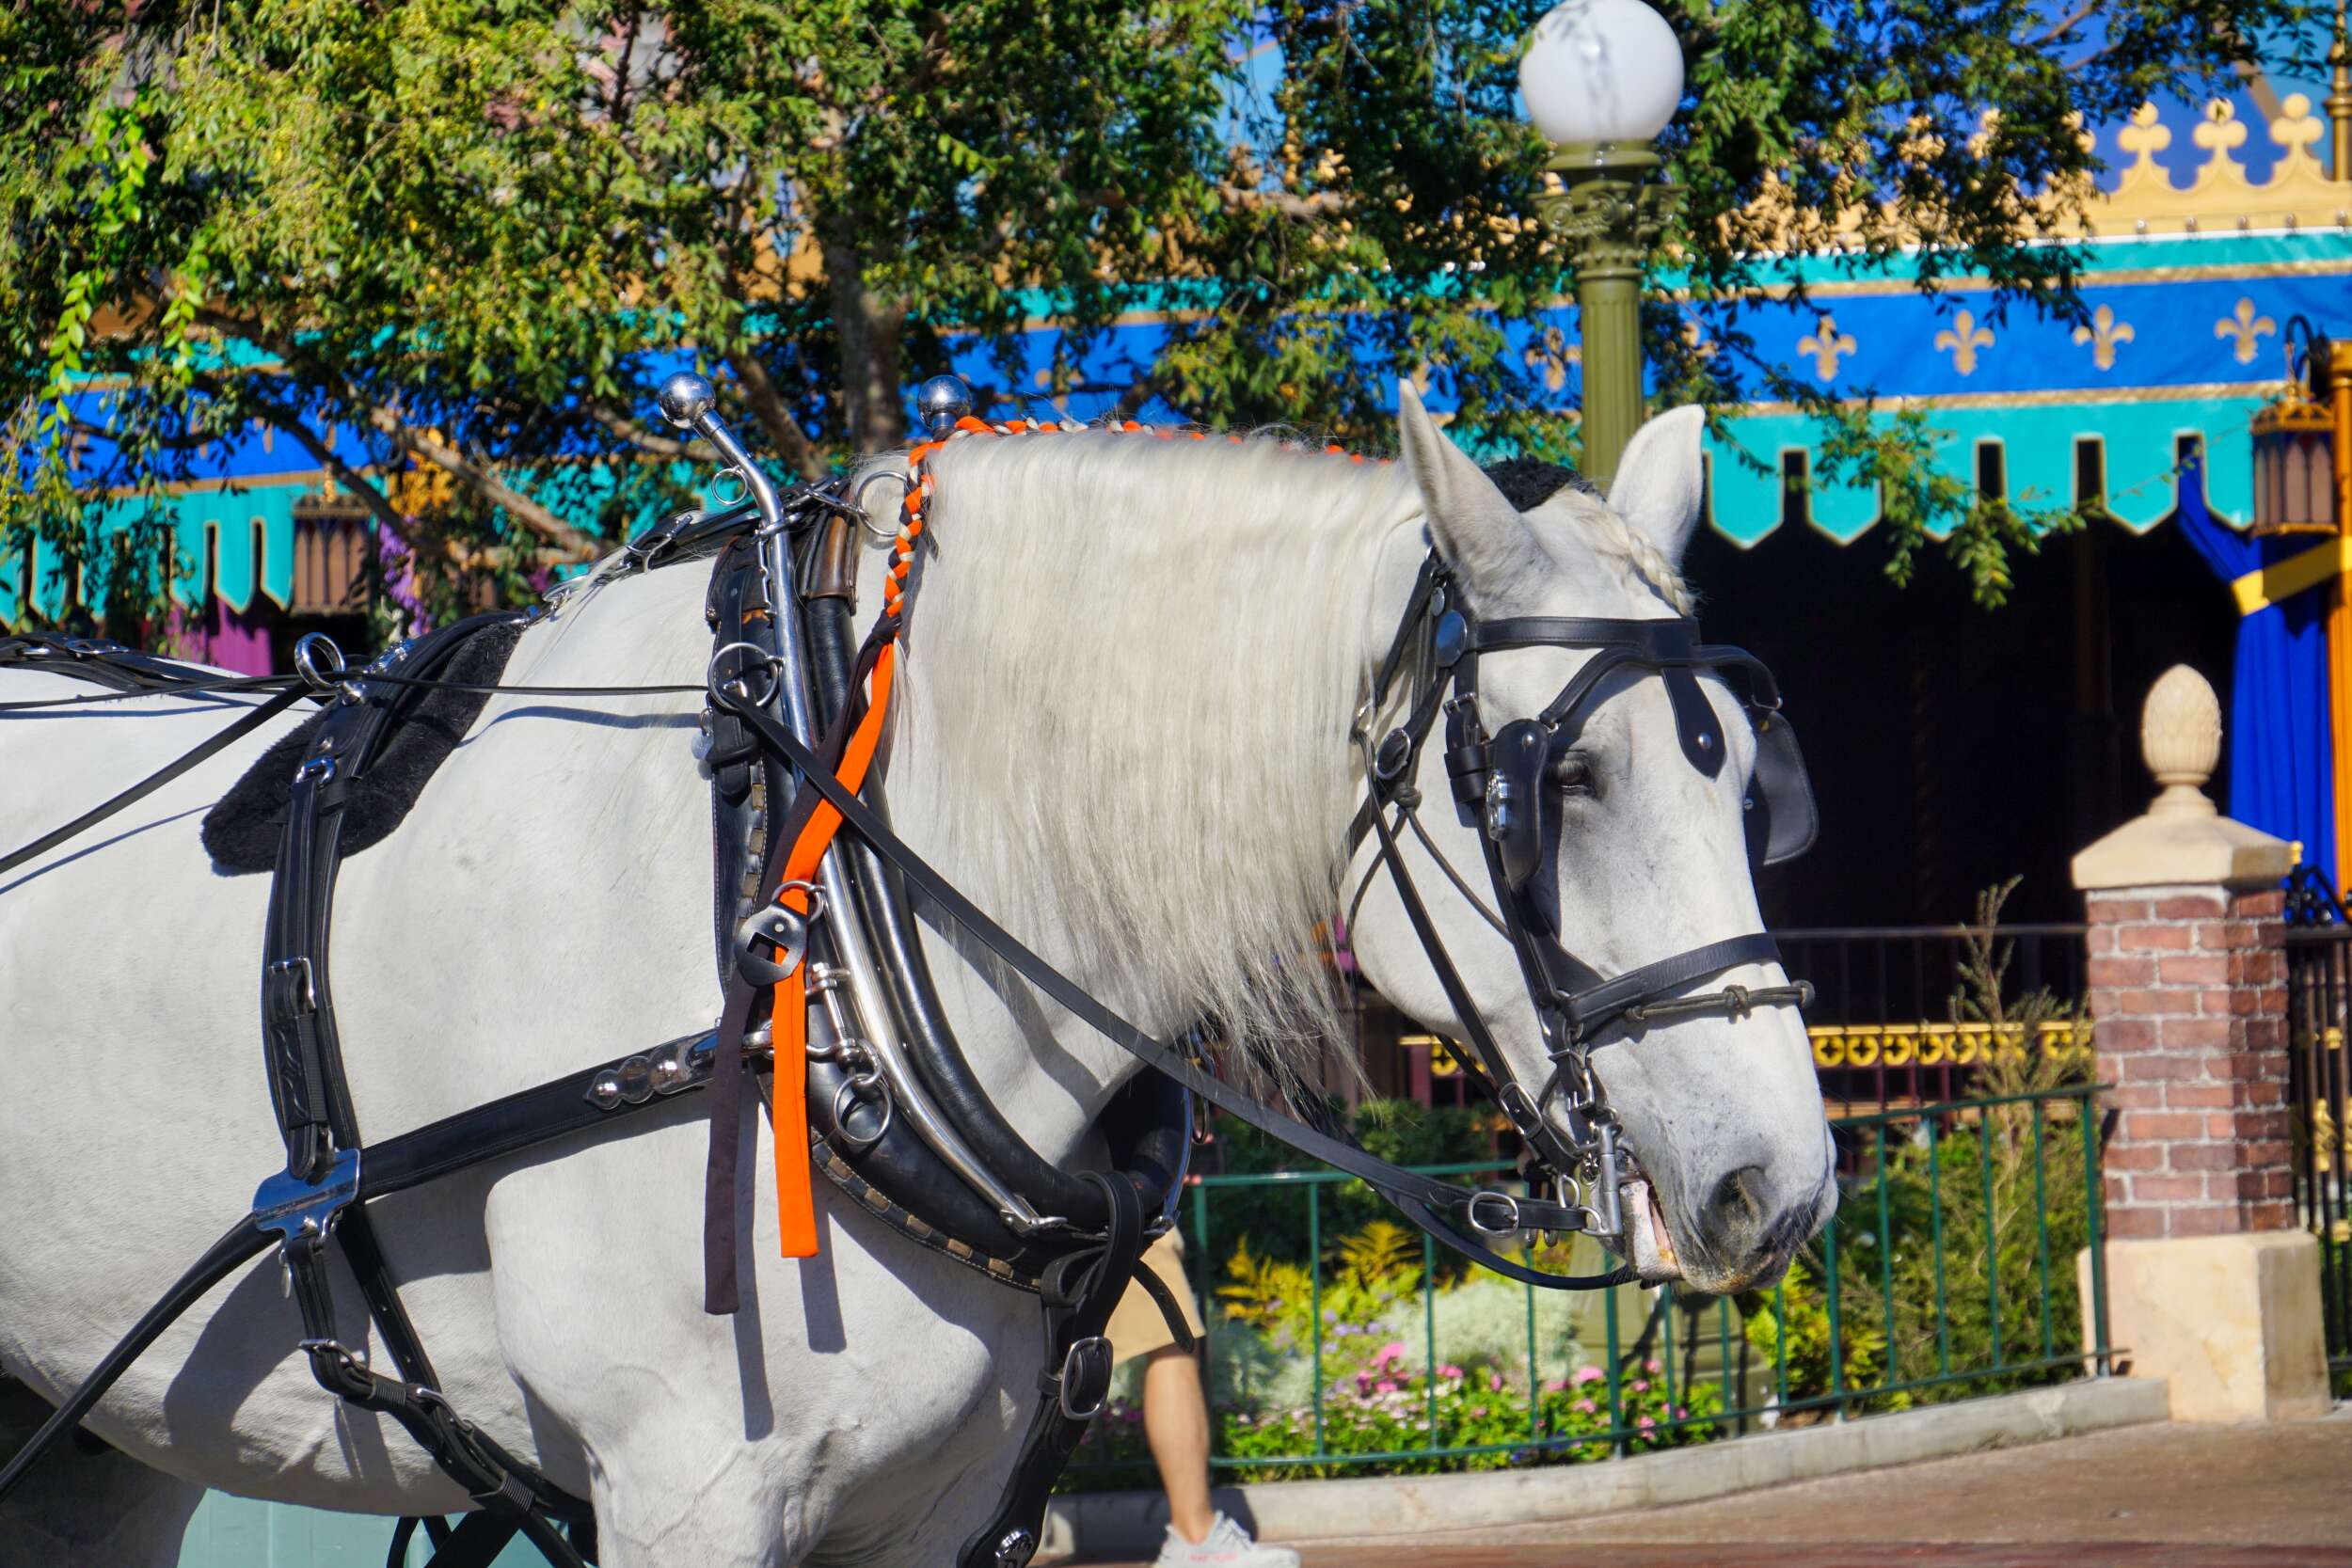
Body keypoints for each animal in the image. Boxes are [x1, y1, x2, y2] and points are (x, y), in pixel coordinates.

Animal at [0, 383, 1835, 1568]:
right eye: (1561, 782)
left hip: (94, 1445)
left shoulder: (935, 1508)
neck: (797, 900)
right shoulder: (684, 1493)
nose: (1785, 1182)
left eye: (1751, 776)